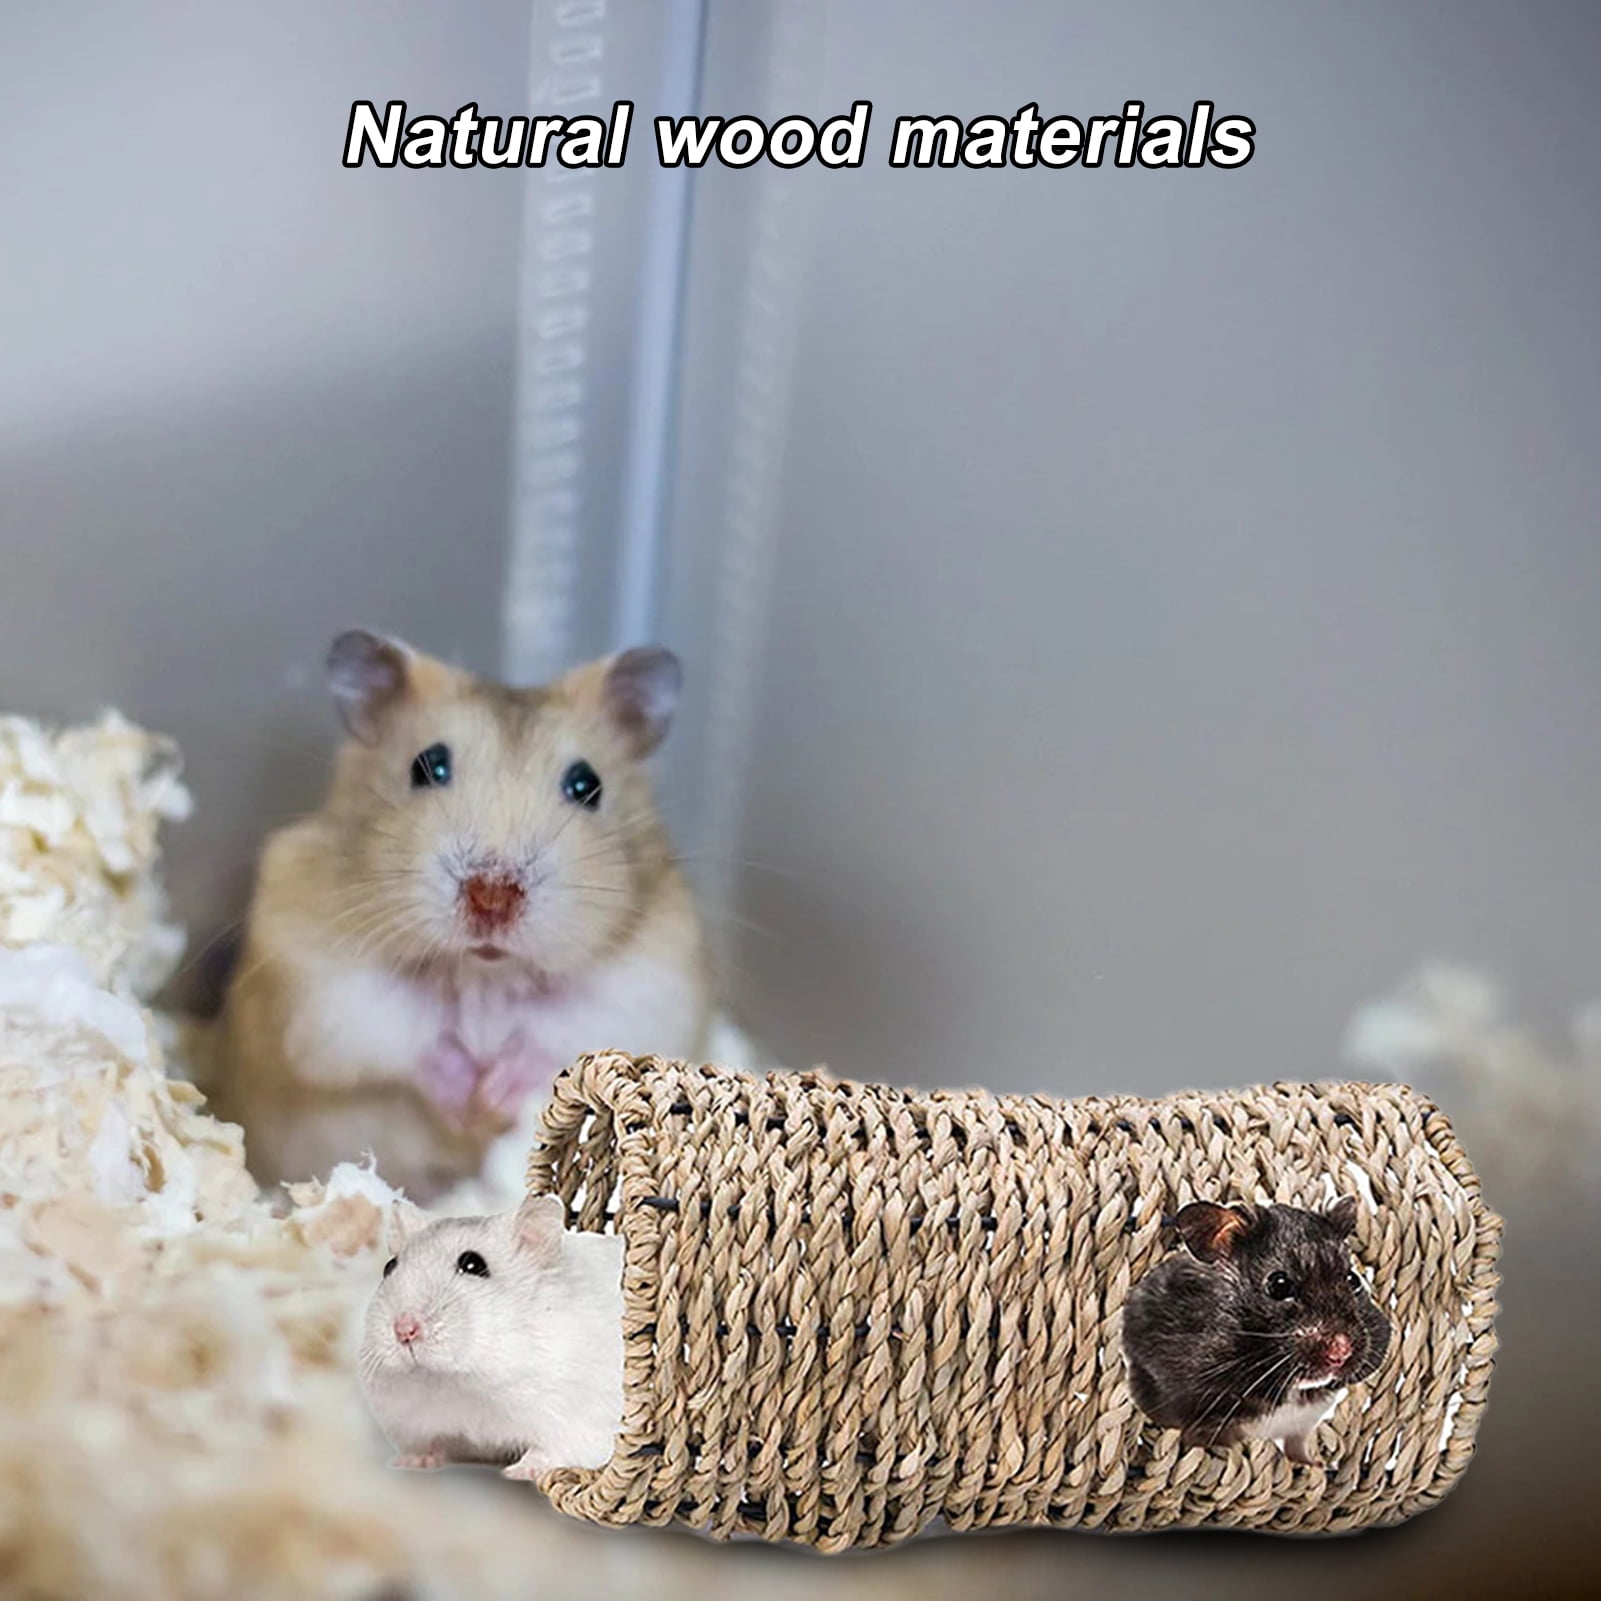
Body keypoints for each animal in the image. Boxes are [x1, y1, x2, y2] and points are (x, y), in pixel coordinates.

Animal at [214, 631, 712, 1200]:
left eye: (587, 785)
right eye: (427, 766)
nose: (492, 897)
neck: (485, 973)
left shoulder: (652, 985)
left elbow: (559, 1032)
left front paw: (491, 1098)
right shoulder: (314, 975)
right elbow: (405, 1031)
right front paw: (467, 1103)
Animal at [359, 1193, 625, 1477]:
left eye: (473, 1264)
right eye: (389, 1267)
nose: (404, 1330)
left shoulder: (577, 1422)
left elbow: (551, 1452)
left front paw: (518, 1471)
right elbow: (431, 1444)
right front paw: (410, 1462)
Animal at [1122, 1196, 1391, 1464]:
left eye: (1353, 1280)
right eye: (1279, 1285)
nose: (1341, 1352)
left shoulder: (1304, 1424)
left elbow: (1297, 1448)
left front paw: (1313, 1464)